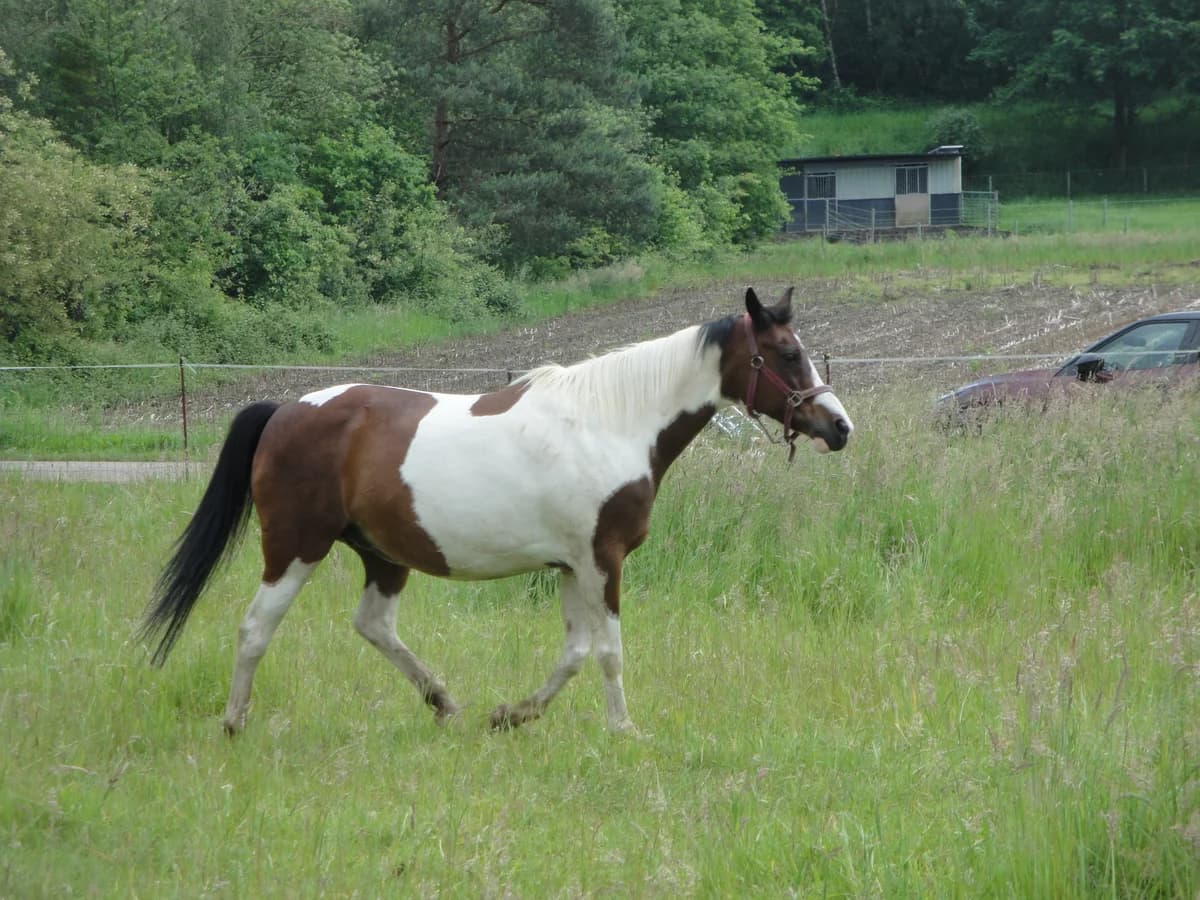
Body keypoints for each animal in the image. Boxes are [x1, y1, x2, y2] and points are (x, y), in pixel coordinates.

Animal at [142, 287, 853, 735]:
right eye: (786, 353)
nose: (839, 427)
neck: (613, 422)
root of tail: (285, 410)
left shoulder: (571, 566)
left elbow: (574, 652)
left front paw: (512, 715)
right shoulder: (603, 560)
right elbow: (609, 650)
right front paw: (624, 728)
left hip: (381, 554)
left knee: (373, 625)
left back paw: (446, 704)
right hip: (294, 547)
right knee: (255, 628)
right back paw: (235, 722)